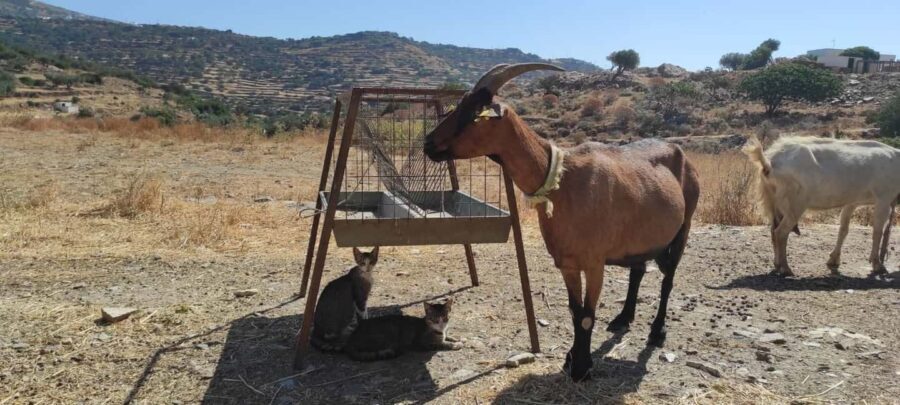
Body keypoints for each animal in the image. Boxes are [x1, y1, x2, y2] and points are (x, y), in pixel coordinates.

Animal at [424, 63, 700, 381]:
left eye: (473, 114)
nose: (428, 144)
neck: (561, 180)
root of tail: (683, 155)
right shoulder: (567, 263)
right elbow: (574, 312)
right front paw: (571, 360)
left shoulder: (594, 263)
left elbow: (587, 316)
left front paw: (581, 367)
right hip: (640, 240)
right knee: (638, 270)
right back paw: (623, 319)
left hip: (684, 225)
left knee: (668, 278)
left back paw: (657, 332)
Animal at [745, 135, 900, 276]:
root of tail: (770, 163)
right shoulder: (884, 199)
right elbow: (877, 232)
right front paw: (878, 265)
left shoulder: (852, 202)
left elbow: (843, 229)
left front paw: (834, 260)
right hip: (795, 204)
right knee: (781, 233)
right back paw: (786, 268)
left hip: (773, 202)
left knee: (773, 231)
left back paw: (777, 265)